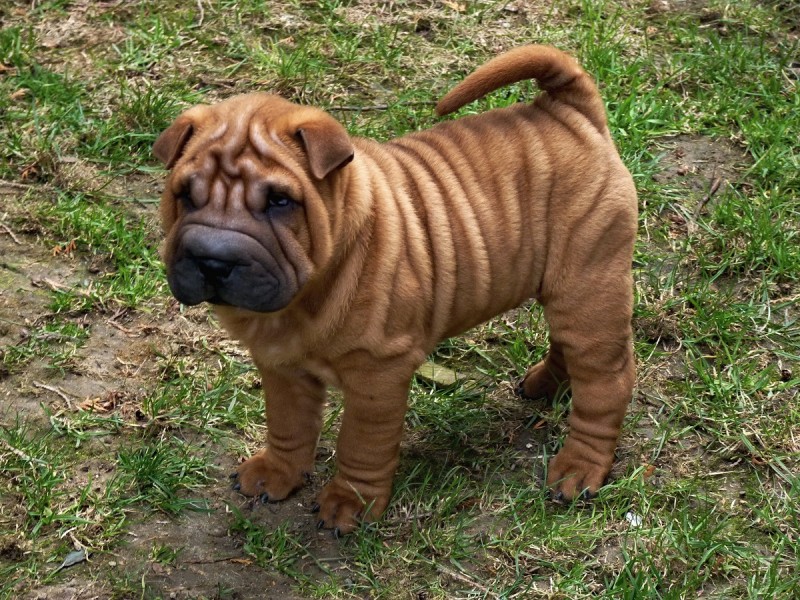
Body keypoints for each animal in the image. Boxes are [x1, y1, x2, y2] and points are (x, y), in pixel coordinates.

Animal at [154, 45, 637, 535]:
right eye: (185, 195)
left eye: (279, 201)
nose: (213, 259)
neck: (306, 295)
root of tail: (566, 110)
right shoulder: (281, 367)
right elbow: (287, 424)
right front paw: (277, 474)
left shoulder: (377, 375)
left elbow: (361, 444)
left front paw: (349, 503)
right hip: (568, 290)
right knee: (567, 345)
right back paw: (546, 385)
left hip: (589, 285)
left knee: (606, 383)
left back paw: (579, 470)